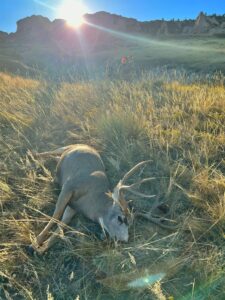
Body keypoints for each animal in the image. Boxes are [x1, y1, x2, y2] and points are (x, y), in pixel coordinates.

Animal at [28, 144, 176, 253]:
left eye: (130, 224)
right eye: (120, 218)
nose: (124, 240)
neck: (91, 200)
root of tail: (86, 145)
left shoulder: (73, 207)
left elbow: (62, 223)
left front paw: (42, 247)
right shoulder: (69, 186)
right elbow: (56, 215)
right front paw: (34, 243)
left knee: (54, 158)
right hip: (65, 147)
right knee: (49, 152)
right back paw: (32, 154)